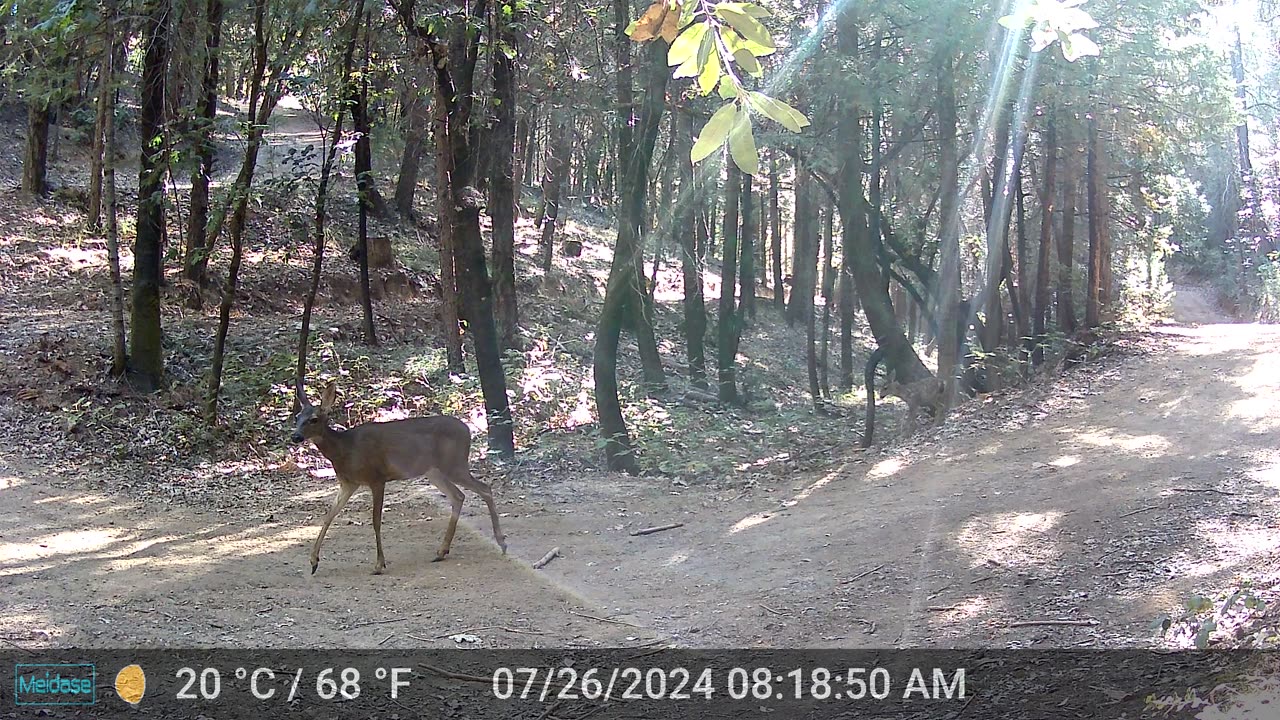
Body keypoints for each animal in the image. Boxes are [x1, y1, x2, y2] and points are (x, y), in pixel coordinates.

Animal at [293, 379, 506, 573]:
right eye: (297, 417)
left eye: (314, 419)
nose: (295, 436)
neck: (346, 449)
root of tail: (468, 429)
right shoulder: (348, 483)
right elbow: (329, 516)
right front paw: (313, 561)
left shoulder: (376, 478)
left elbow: (376, 520)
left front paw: (379, 564)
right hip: (434, 471)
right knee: (458, 496)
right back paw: (441, 551)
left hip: (454, 463)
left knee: (484, 489)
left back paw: (501, 542)